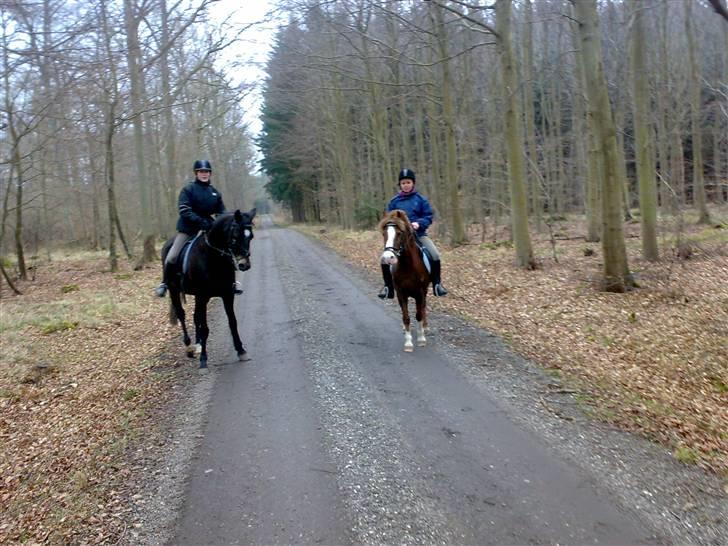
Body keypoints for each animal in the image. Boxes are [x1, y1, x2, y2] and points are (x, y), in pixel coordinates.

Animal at [161, 207, 256, 366]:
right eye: (235, 237)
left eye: (251, 237)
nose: (244, 265)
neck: (213, 257)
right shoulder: (202, 295)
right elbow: (205, 328)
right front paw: (203, 360)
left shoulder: (227, 294)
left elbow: (232, 322)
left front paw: (241, 351)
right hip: (175, 290)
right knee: (181, 314)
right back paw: (189, 346)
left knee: (195, 316)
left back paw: (198, 344)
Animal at [378, 206, 430, 350]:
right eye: (384, 234)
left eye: (399, 233)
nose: (387, 258)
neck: (408, 265)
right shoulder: (401, 292)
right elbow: (406, 317)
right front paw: (408, 342)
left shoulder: (420, 293)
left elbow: (418, 314)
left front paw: (421, 338)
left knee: (423, 307)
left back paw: (425, 326)